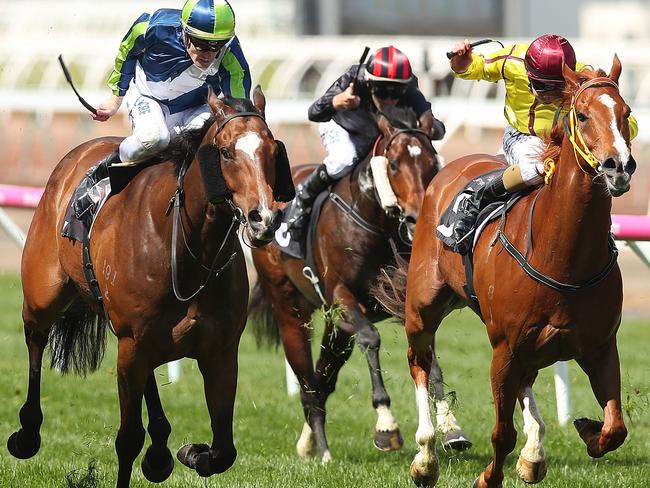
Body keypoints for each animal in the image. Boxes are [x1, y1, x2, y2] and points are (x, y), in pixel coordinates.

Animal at [6, 87, 292, 488]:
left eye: (270, 150)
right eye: (225, 152)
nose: (263, 217)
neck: (188, 247)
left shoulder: (221, 351)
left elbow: (224, 449)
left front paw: (192, 452)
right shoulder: (132, 344)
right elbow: (127, 439)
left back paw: (159, 450)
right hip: (44, 295)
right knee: (35, 336)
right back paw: (28, 433)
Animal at [249, 107, 470, 462]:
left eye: (431, 163)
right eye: (393, 164)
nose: (416, 218)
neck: (374, 223)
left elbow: (429, 355)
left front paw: (451, 427)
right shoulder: (342, 297)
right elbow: (371, 338)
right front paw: (386, 425)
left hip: (336, 326)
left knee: (323, 378)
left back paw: (309, 442)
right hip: (289, 307)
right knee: (308, 381)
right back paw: (323, 451)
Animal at [374, 58, 632, 488]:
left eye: (626, 114)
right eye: (582, 114)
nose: (619, 167)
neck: (564, 257)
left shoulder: (600, 347)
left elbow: (615, 428)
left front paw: (586, 429)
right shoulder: (504, 350)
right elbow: (501, 432)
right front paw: (487, 476)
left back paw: (533, 454)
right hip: (423, 306)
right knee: (419, 360)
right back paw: (426, 456)